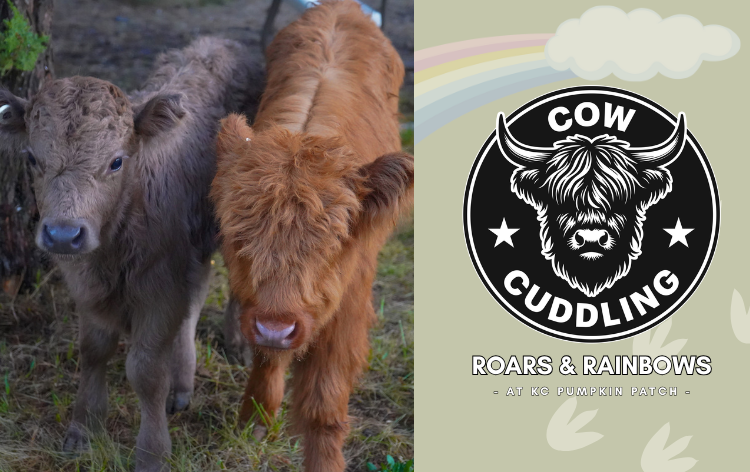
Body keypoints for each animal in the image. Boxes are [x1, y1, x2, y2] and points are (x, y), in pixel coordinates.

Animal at [0, 37, 260, 471]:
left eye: (116, 161)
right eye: (33, 158)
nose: (63, 234)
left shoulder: (158, 288)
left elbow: (145, 371)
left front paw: (152, 453)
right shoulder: (87, 286)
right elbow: (93, 351)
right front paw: (83, 430)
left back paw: (237, 344)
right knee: (197, 294)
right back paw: (183, 383)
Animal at [210, 2, 413, 471]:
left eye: (333, 244)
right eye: (237, 237)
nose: (275, 327)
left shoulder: (348, 305)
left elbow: (324, 402)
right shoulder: (260, 304)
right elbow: (268, 361)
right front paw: (255, 422)